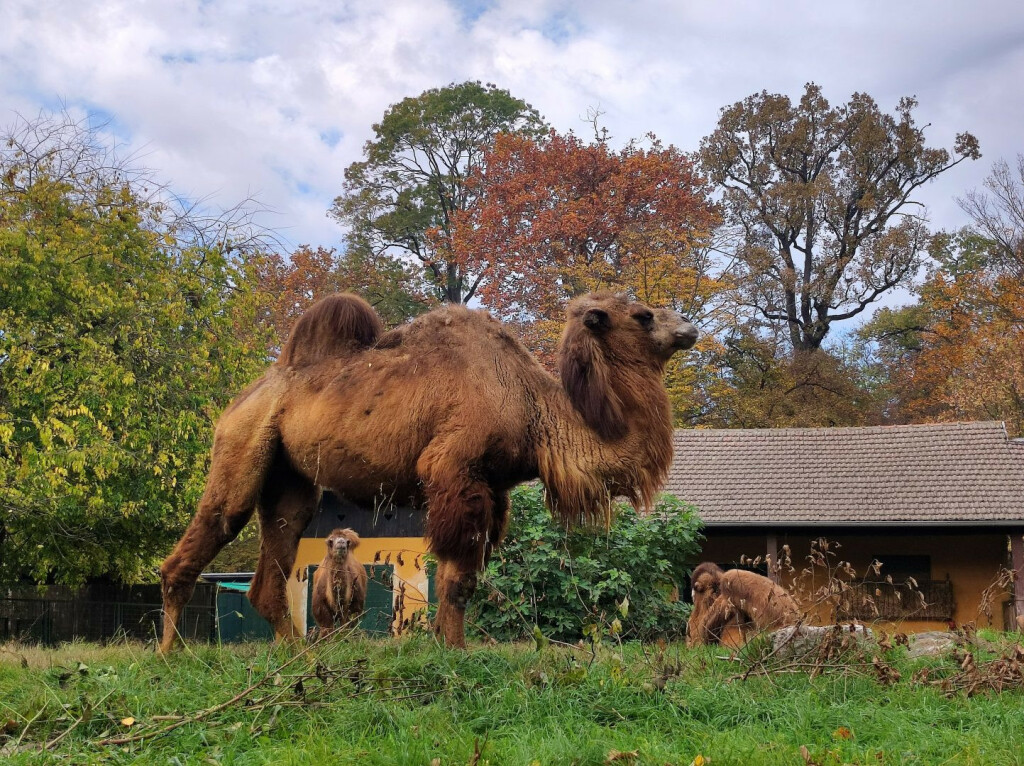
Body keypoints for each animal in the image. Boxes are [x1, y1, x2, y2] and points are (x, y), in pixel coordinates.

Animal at [159, 290, 700, 651]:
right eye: (643, 315)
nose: (689, 327)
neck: (532, 408)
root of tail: (246, 397)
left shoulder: (493, 489)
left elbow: (465, 577)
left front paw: (444, 644)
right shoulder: (454, 469)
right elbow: (456, 578)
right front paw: (455, 651)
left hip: (290, 478)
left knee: (276, 554)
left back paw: (295, 654)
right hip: (241, 445)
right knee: (212, 526)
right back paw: (170, 656)